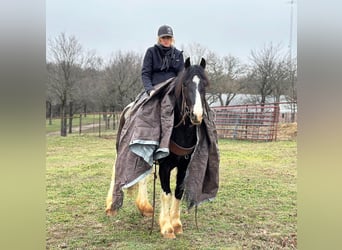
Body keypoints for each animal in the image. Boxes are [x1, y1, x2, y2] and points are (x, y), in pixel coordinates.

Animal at [105, 57, 210, 238]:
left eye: (205, 84)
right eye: (185, 84)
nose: (196, 115)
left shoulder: (184, 166)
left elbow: (178, 192)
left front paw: (177, 224)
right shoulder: (165, 167)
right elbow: (166, 194)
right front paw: (167, 227)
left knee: (143, 176)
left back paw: (145, 208)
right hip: (120, 148)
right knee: (117, 171)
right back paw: (111, 206)